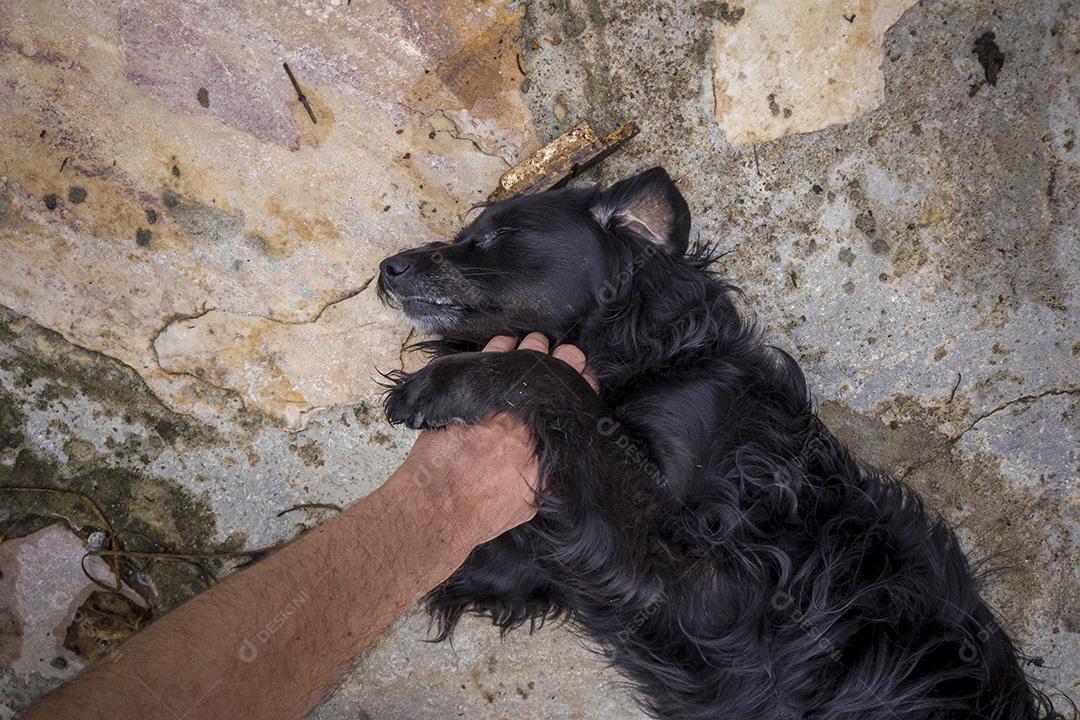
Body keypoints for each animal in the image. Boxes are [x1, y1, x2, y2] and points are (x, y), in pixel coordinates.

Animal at [375, 170, 1058, 720]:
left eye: (495, 237)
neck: (645, 359)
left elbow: (550, 375)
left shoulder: (681, 567)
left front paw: (438, 385)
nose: (387, 268)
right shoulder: (544, 558)